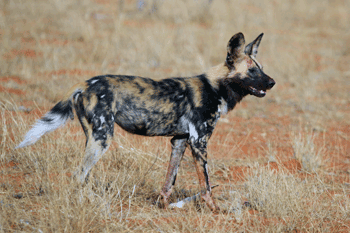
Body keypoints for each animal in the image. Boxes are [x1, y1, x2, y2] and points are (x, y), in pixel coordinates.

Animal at [16, 32, 274, 211]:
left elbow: (169, 181)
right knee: (79, 175)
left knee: (83, 175)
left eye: (261, 68)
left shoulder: (180, 141)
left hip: (93, 138)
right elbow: (206, 186)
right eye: (252, 71)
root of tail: (86, 83)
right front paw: (215, 210)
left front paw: (163, 206)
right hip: (103, 138)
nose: (272, 82)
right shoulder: (199, 142)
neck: (215, 87)